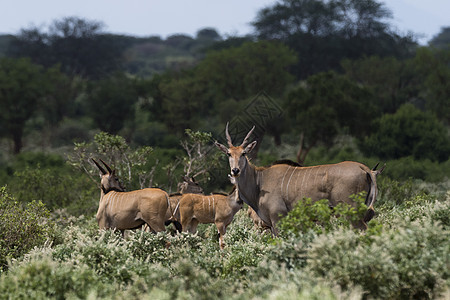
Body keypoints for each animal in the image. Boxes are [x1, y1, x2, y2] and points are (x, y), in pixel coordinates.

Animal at [216, 123, 384, 236]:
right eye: (229, 154)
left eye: (244, 153)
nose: (235, 170)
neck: (259, 181)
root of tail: (365, 169)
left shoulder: (278, 219)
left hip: (351, 213)